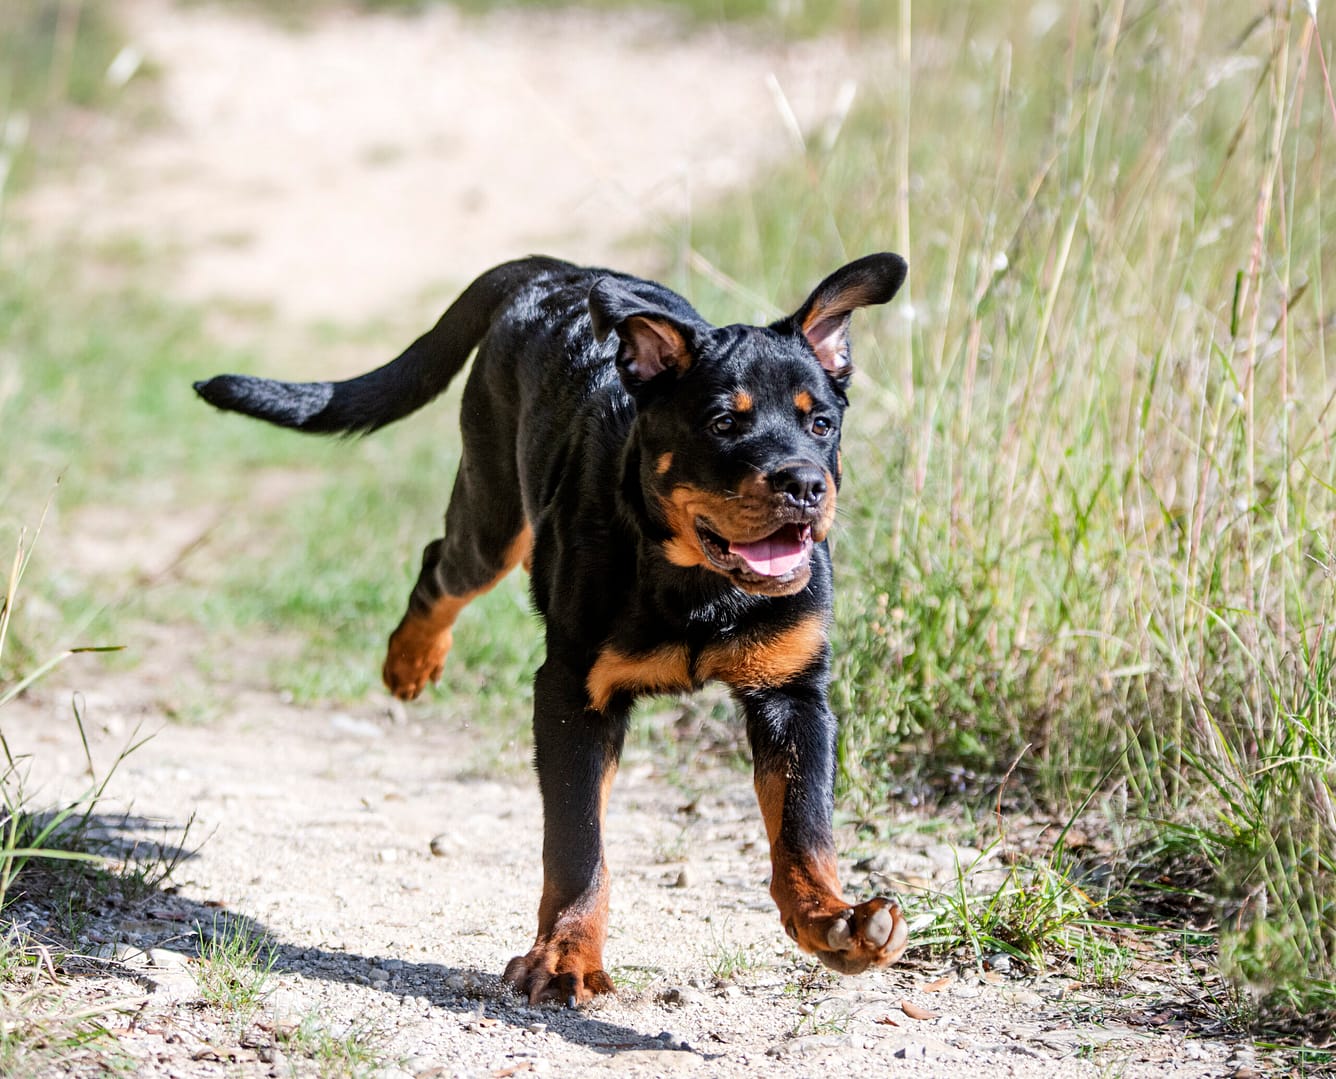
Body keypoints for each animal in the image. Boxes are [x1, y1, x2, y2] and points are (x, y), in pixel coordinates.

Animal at [195, 252, 908, 1004]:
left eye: (821, 423)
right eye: (721, 423)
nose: (804, 484)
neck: (696, 583)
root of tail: (555, 269)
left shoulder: (792, 693)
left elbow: (804, 826)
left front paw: (834, 922)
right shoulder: (571, 692)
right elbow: (577, 844)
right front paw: (564, 957)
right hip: (493, 515)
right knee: (441, 567)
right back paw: (409, 662)